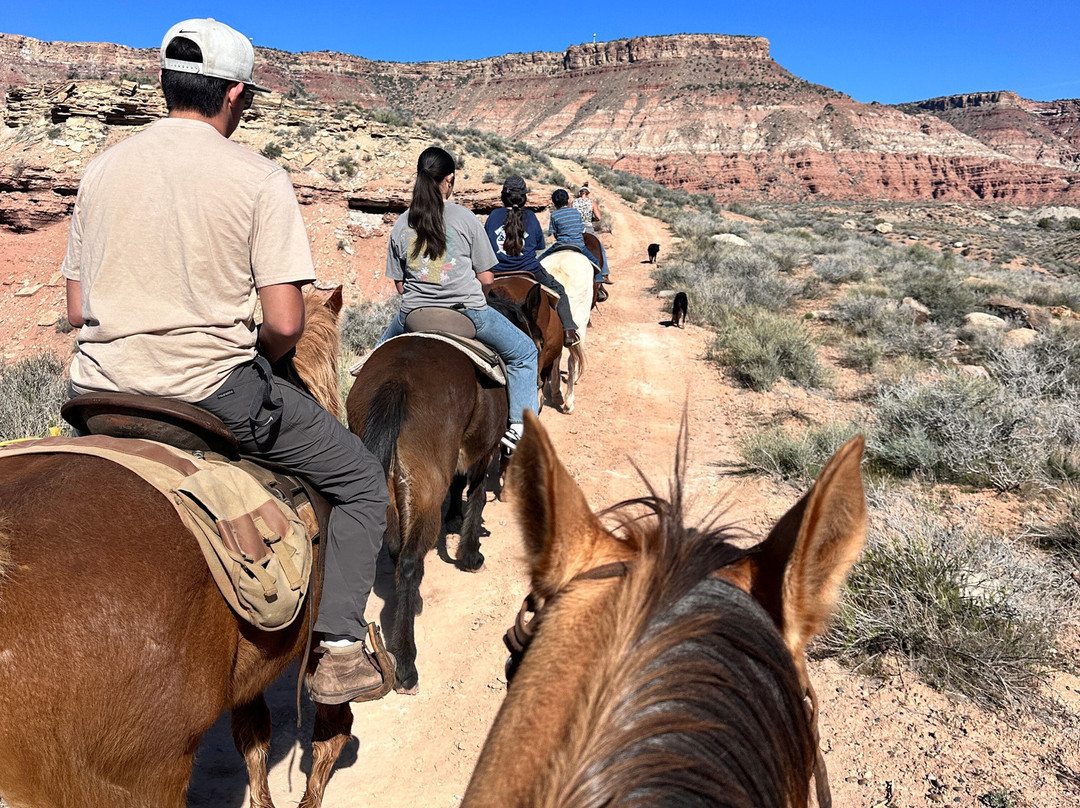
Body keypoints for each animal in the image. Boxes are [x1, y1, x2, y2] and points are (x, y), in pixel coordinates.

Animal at [345, 295, 541, 694]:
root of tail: (397, 380)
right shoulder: (483, 450)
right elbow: (476, 496)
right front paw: (470, 553)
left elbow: (457, 488)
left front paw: (454, 521)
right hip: (424, 490)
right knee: (408, 562)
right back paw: (406, 664)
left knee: (395, 548)